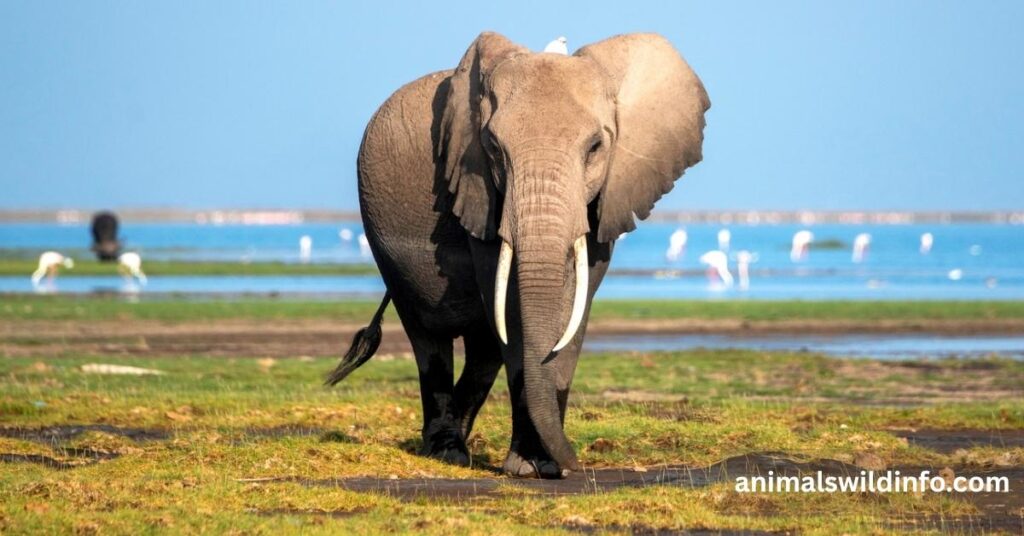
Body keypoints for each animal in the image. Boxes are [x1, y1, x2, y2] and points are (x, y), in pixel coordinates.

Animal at [327, 32, 709, 478]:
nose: (578, 466)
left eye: (596, 147)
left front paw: (541, 464)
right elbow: (510, 303)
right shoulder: (479, 190)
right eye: (493, 148)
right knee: (429, 337)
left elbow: (575, 307)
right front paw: (530, 467)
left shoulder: (608, 195)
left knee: (484, 349)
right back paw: (446, 451)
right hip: (384, 241)